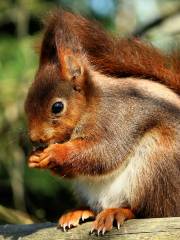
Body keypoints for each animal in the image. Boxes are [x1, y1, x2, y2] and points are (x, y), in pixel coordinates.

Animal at [25, 9, 180, 234]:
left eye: (57, 107)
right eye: (26, 103)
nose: (35, 138)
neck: (90, 107)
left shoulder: (118, 119)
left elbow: (103, 153)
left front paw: (55, 153)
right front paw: (34, 158)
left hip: (156, 168)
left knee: (148, 210)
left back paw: (117, 212)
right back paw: (80, 211)